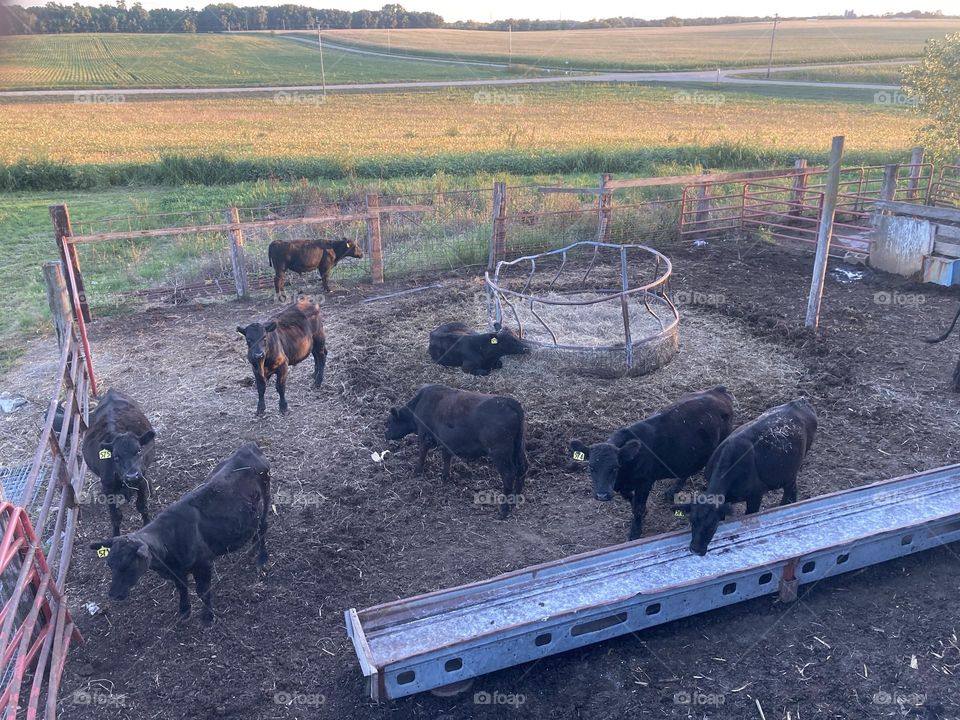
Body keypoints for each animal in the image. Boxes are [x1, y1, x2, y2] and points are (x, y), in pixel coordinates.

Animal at [81, 389, 156, 537]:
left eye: (139, 450)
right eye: (115, 457)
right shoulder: (108, 488)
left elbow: (142, 506)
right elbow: (115, 516)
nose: (132, 476)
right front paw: (115, 535)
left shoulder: (140, 481)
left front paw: (147, 524)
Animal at [88, 442, 271, 627]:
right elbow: (182, 589)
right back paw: (252, 550)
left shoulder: (204, 564)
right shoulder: (176, 573)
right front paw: (184, 611)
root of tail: (247, 447)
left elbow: (203, 592)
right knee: (255, 529)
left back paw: (261, 559)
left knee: (263, 527)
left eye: (128, 565)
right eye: (110, 564)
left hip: (266, 494)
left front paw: (207, 617)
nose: (113, 595)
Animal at [385, 384, 528, 518]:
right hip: (518, 448)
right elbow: (446, 457)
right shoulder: (446, 441)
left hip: (500, 453)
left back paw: (504, 510)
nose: (385, 435)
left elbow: (422, 454)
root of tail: (509, 402)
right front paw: (445, 477)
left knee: (508, 474)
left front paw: (417, 472)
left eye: (389, 422)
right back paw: (516, 499)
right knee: (522, 468)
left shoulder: (424, 435)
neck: (420, 403)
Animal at [570, 386, 735, 541]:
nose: (602, 495)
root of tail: (717, 390)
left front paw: (635, 532)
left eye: (615, 467)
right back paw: (672, 491)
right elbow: (629, 497)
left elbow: (638, 508)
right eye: (591, 467)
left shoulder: (645, 481)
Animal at [676, 398, 818, 556]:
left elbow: (750, 514)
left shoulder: (756, 495)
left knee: (790, 489)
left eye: (712, 525)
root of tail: (799, 401)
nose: (695, 549)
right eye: (692, 521)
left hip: (794, 467)